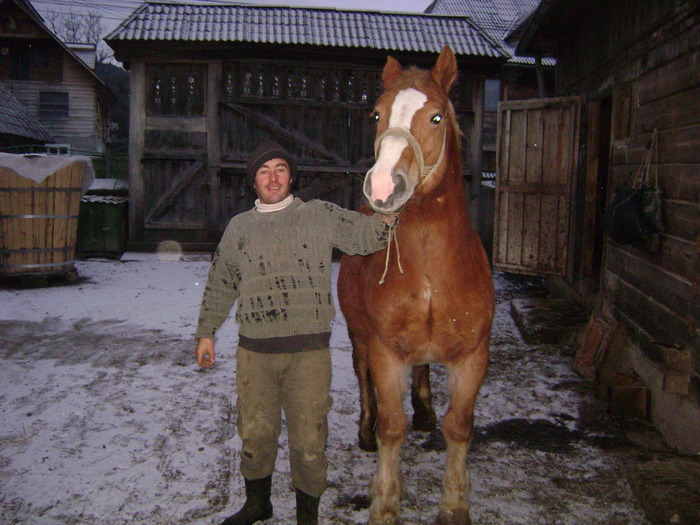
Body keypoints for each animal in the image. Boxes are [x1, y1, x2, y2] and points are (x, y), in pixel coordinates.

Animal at [338, 46, 492, 524]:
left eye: (437, 117)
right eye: (376, 113)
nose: (383, 186)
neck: (430, 274)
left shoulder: (472, 359)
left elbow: (459, 427)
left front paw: (455, 506)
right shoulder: (387, 354)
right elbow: (392, 427)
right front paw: (385, 503)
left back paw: (424, 410)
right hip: (359, 338)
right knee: (361, 374)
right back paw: (364, 430)